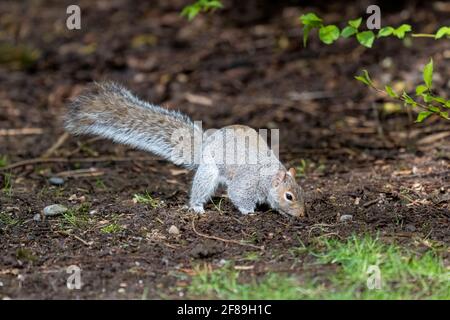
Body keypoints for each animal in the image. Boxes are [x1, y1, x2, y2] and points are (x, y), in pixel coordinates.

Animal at [65, 82, 306, 218]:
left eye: (303, 192)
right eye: (289, 196)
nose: (302, 215)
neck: (267, 176)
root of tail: (205, 145)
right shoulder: (246, 182)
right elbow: (238, 195)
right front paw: (249, 212)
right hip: (209, 172)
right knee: (201, 188)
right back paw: (197, 207)